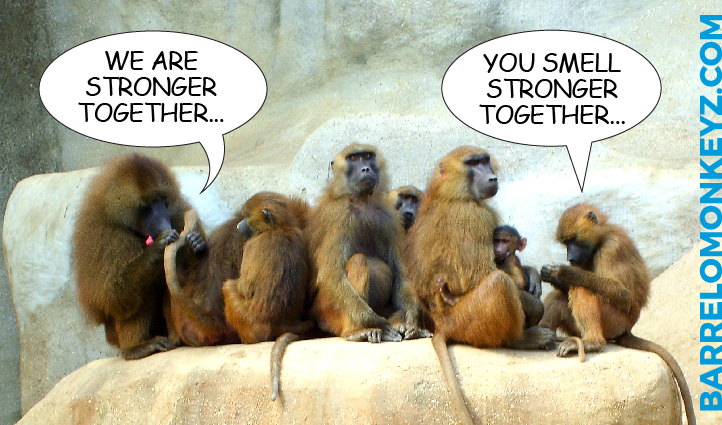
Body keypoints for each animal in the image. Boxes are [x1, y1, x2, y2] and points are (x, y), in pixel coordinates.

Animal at [73, 153, 204, 360]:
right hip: (114, 335)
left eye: (163, 200)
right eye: (148, 206)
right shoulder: (106, 238)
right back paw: (137, 348)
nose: (165, 224)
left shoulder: (179, 213)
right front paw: (159, 247)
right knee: (139, 294)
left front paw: (195, 244)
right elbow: (115, 296)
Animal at [222, 192, 314, 401]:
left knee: (228, 287)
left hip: (250, 323)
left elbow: (243, 288)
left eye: (246, 216)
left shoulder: (252, 245)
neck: (280, 227)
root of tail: (282, 323)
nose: (238, 226)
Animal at [305, 144, 429, 344]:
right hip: (326, 311)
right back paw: (357, 331)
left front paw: (412, 320)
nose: (365, 169)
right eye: (354, 158)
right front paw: (379, 323)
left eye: (368, 156)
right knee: (359, 261)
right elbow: (330, 274)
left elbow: (400, 275)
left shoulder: (389, 219)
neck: (361, 201)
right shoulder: (339, 216)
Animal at [404, 146, 554, 425]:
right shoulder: (473, 216)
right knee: (498, 283)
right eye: (473, 163)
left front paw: (532, 275)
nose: (492, 178)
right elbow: (481, 275)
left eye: (485, 161)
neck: (449, 193)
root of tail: (440, 325)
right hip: (464, 323)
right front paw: (536, 306)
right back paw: (520, 340)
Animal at [539, 203, 695, 425]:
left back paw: (591, 342)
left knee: (582, 289)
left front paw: (563, 272)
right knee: (559, 297)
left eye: (574, 240)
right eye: (566, 243)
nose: (569, 258)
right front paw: (551, 276)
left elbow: (623, 294)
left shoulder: (612, 248)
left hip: (614, 322)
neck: (601, 239)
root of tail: (628, 329)